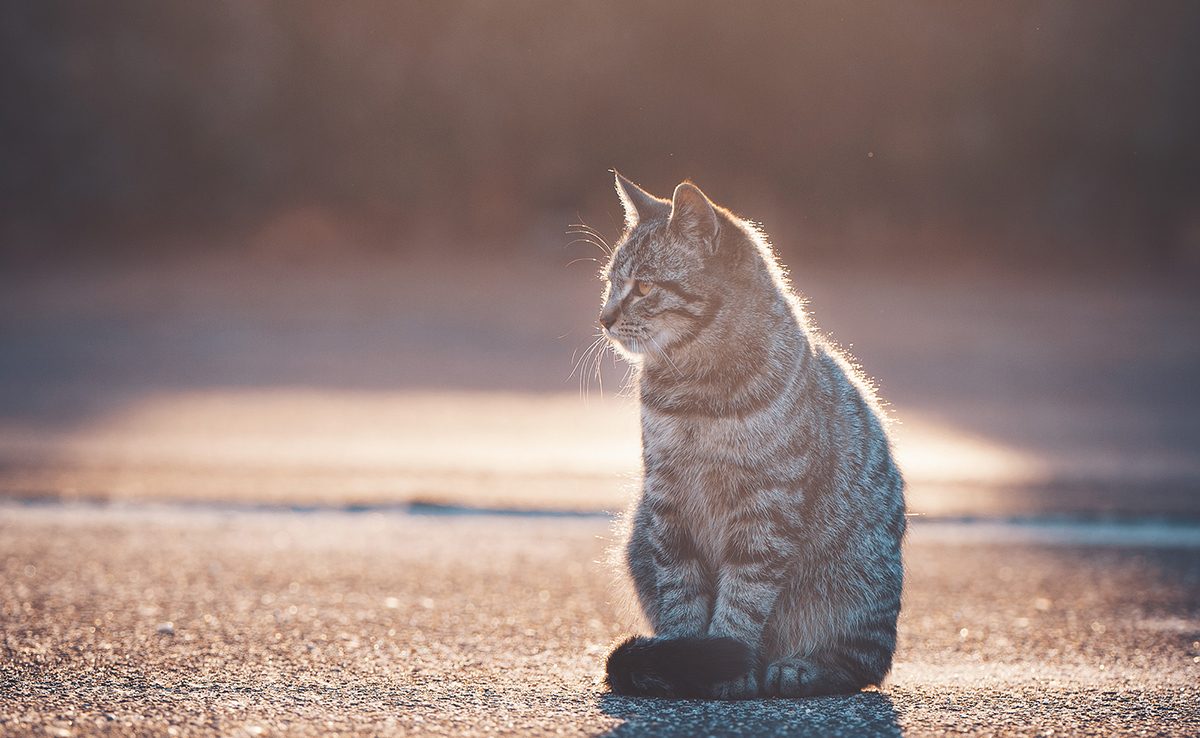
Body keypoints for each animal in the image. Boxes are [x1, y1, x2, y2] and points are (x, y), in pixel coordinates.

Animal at [595, 171, 902, 700]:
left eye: (644, 286)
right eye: (611, 283)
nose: (604, 318)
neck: (694, 391)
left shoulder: (767, 508)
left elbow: (743, 598)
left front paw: (724, 664)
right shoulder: (668, 504)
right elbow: (681, 594)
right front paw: (687, 658)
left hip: (855, 583)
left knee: (860, 662)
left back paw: (800, 667)